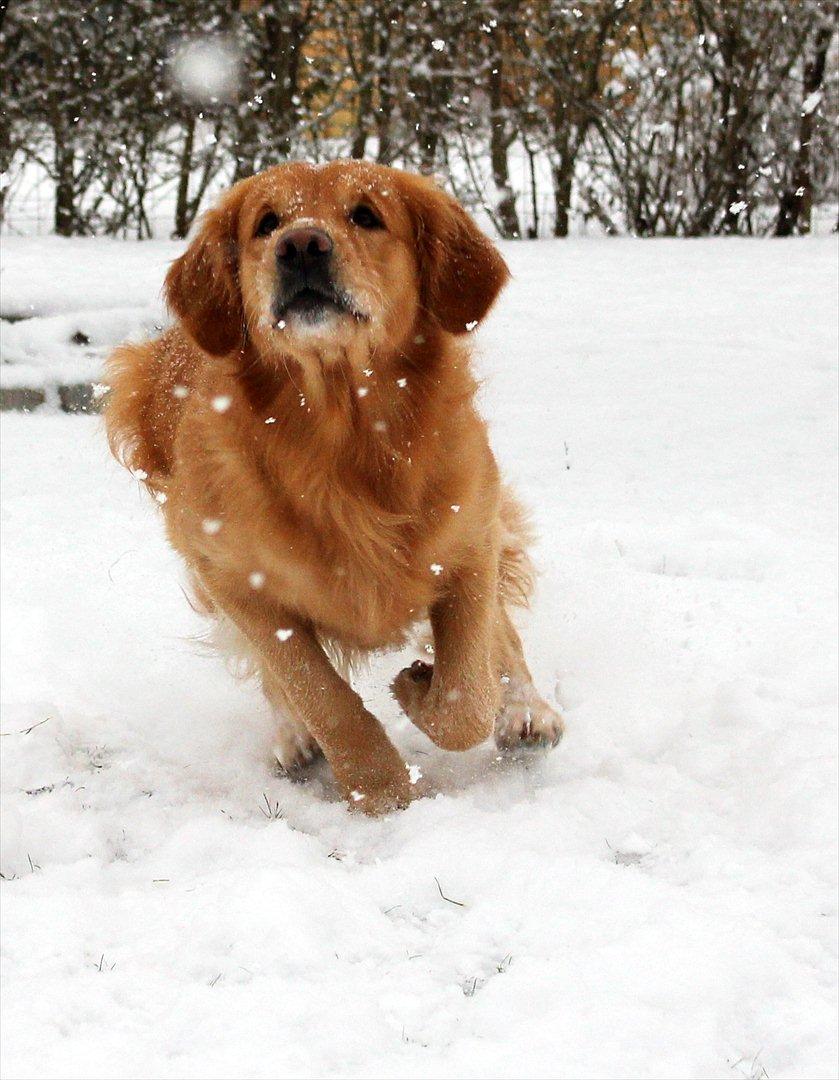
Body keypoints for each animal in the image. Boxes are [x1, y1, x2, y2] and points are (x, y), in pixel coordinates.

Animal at [106, 162, 561, 812]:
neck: (343, 441)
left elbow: (466, 693)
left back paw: (526, 712)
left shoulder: (469, 540)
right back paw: (295, 738)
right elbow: (319, 694)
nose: (300, 244)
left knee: (502, 638)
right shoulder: (235, 578)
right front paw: (384, 793)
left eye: (366, 214)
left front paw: (424, 689)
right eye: (266, 222)